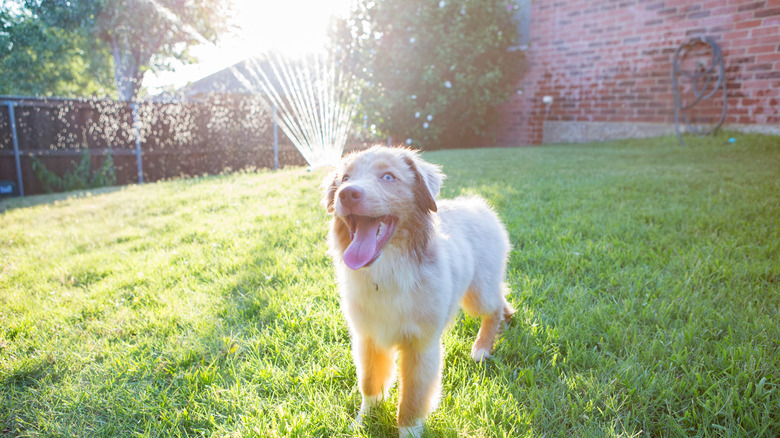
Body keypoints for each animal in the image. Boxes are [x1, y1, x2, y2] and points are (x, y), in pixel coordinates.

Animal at [320, 145, 516, 436]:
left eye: (388, 177)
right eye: (344, 178)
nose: (346, 193)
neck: (388, 272)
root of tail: (477, 205)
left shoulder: (421, 346)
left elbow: (412, 400)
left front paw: (408, 430)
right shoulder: (368, 338)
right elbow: (370, 384)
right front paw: (363, 423)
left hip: (478, 292)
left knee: (494, 306)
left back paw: (481, 348)